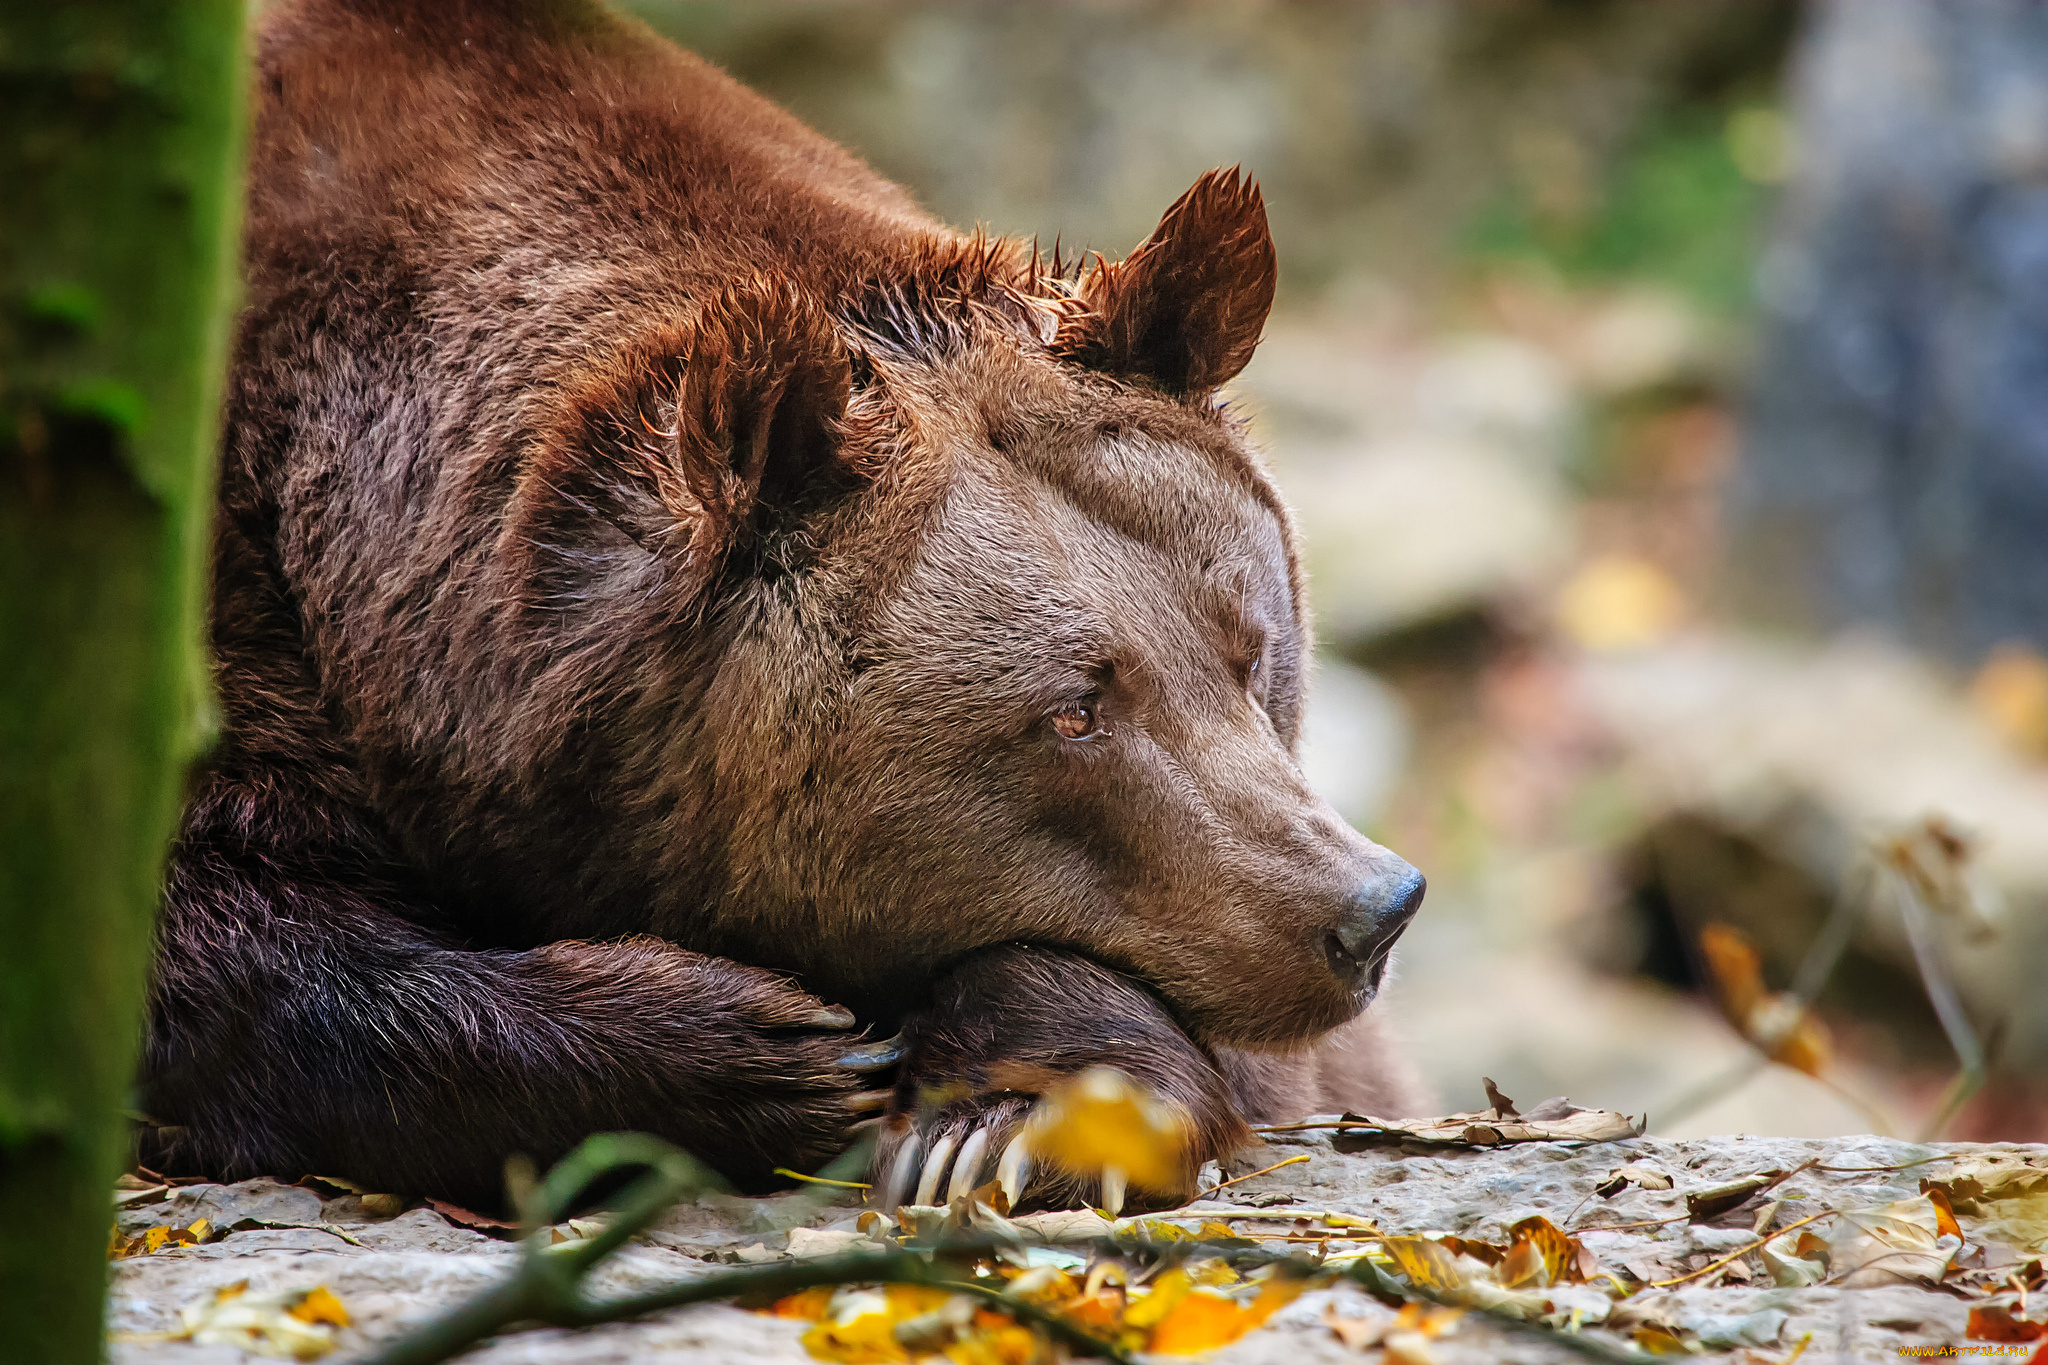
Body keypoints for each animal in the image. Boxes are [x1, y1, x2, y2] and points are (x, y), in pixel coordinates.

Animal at [140, 0, 1425, 1219]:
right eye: (1071, 712)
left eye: (1250, 648)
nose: (1366, 910)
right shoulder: (222, 595)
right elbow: (219, 938)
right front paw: (765, 1047)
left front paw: (1004, 1122)